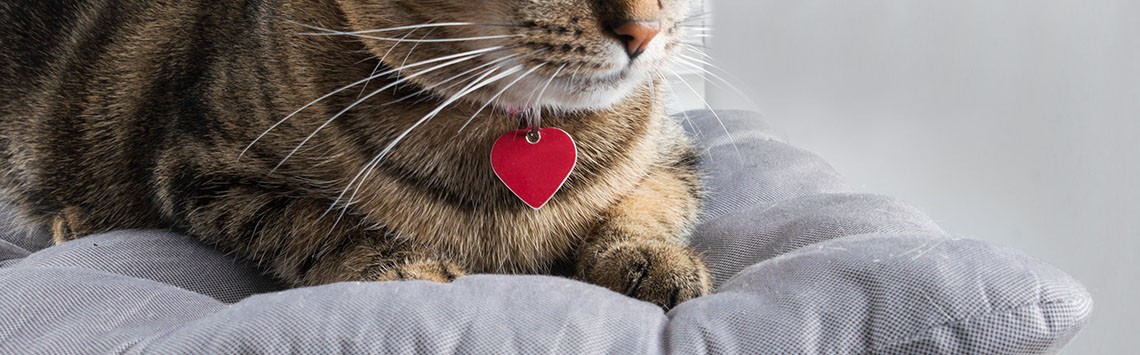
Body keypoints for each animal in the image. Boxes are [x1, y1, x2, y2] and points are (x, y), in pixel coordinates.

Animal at [0, 0, 711, 308]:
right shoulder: (204, 169)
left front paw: (649, 258)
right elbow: (316, 225)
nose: (645, 30)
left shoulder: (672, 157)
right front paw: (403, 269)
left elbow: (643, 208)